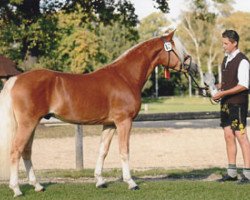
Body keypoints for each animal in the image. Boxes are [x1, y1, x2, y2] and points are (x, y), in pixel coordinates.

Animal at [0, 30, 197, 197]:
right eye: (178, 49)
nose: (192, 66)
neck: (125, 77)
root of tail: (16, 79)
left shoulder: (109, 124)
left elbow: (103, 150)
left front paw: (100, 181)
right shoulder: (124, 122)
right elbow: (124, 151)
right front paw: (131, 182)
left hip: (33, 123)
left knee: (26, 151)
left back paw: (37, 186)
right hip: (27, 123)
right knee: (16, 150)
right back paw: (17, 189)